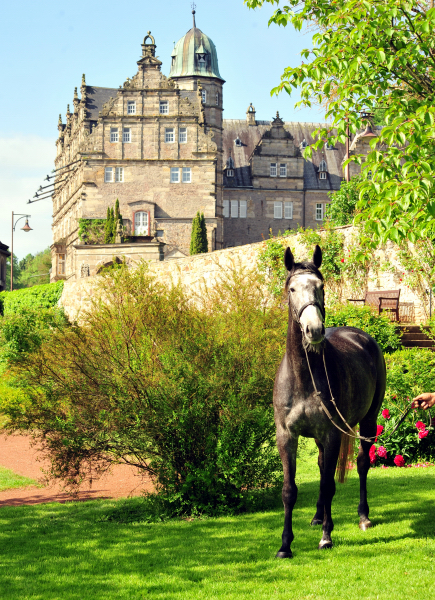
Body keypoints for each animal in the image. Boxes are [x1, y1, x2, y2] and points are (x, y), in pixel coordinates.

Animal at [274, 244, 386, 556]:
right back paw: (316, 516)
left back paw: (363, 517)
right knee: (323, 465)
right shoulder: (286, 436)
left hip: (368, 422)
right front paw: (285, 545)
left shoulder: (332, 434)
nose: (313, 330)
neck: (304, 377)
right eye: (292, 288)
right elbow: (289, 490)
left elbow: (327, 485)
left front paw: (326, 536)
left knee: (362, 464)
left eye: (321, 286)